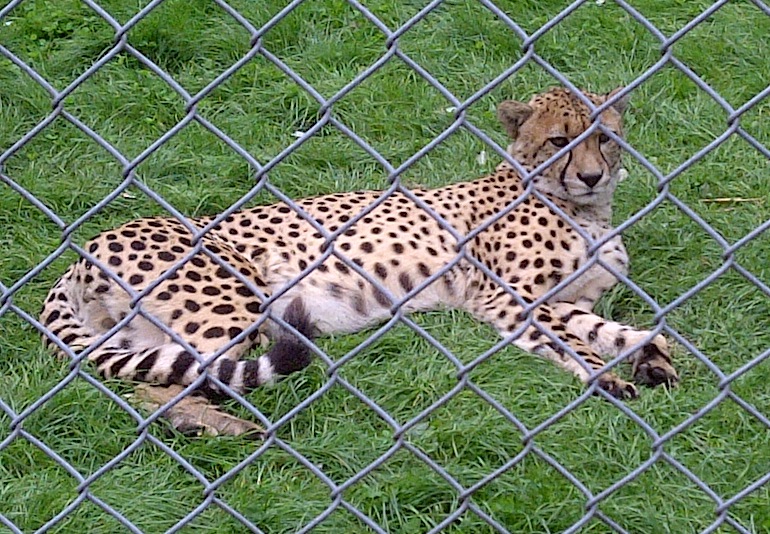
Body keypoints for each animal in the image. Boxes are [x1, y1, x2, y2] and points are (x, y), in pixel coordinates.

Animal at [39, 86, 678, 434]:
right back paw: (220, 426)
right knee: (173, 387)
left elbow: (622, 330)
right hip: (236, 305)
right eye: (559, 142)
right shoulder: (506, 300)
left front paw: (652, 360)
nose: (591, 175)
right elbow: (571, 346)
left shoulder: (563, 301)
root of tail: (85, 248)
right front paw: (607, 380)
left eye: (605, 138)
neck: (586, 209)